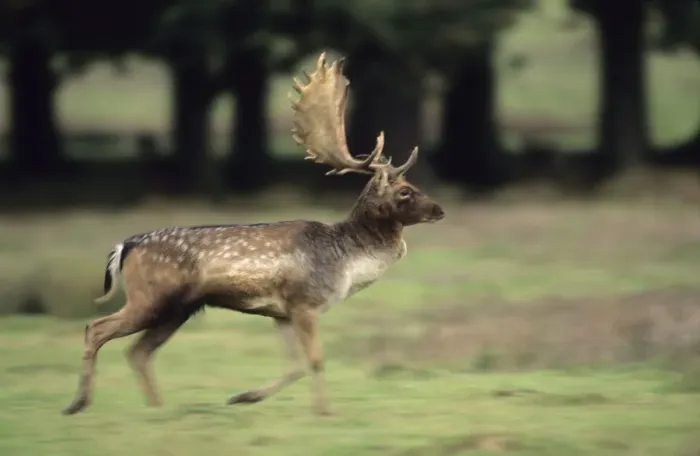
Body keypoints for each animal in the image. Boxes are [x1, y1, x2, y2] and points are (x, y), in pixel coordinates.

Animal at [62, 52, 445, 417]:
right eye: (405, 192)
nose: (439, 209)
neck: (346, 259)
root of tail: (124, 246)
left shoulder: (282, 312)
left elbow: (296, 365)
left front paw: (243, 397)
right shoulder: (304, 301)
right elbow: (315, 360)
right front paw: (325, 411)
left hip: (177, 309)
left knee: (137, 351)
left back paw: (157, 408)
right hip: (149, 298)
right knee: (96, 328)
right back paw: (78, 403)